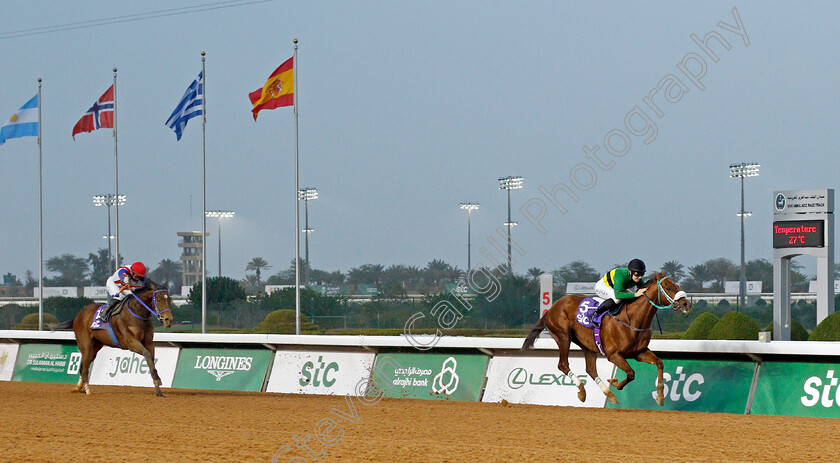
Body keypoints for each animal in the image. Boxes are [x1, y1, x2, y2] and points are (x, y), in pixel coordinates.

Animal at [520, 272, 692, 406]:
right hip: (563, 337)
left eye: (677, 285)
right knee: (563, 365)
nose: (686, 304)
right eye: (668, 288)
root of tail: (552, 308)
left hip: (587, 345)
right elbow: (631, 373)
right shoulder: (613, 355)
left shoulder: (639, 352)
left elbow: (659, 363)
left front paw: (661, 396)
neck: (632, 319)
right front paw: (615, 382)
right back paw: (583, 390)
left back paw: (606, 394)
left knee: (590, 369)